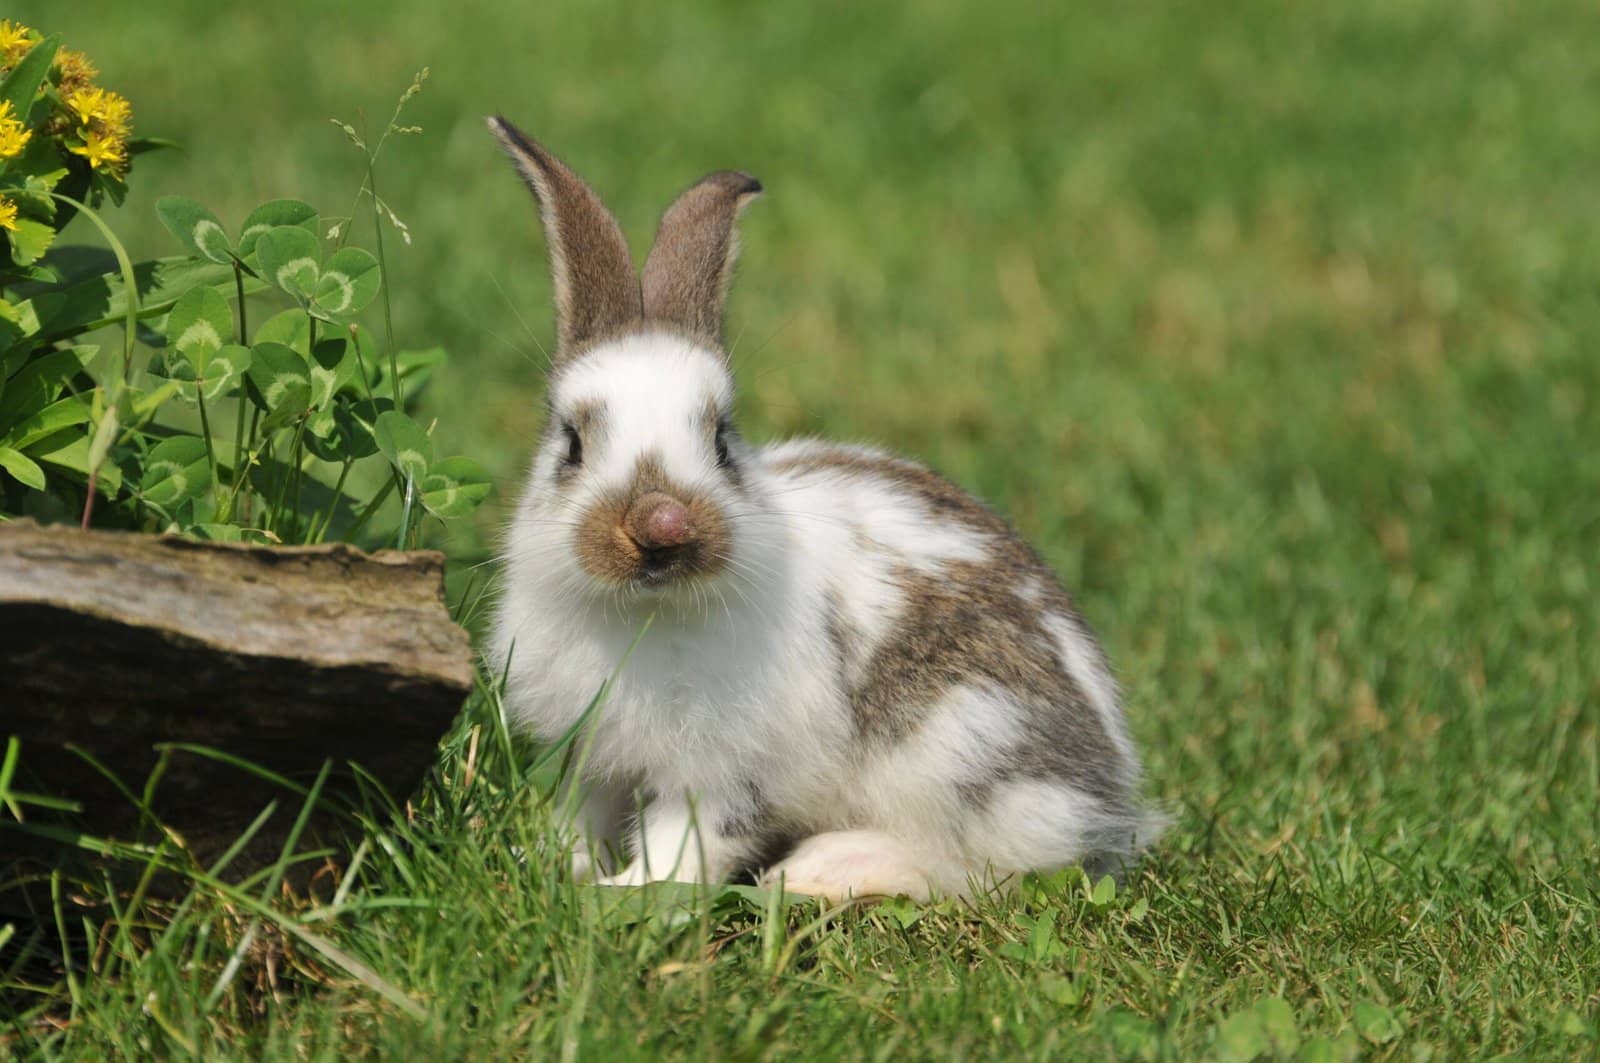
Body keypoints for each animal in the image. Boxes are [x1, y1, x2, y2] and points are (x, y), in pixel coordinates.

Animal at [480, 116, 1158, 896]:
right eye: (572, 442)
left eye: (722, 438)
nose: (661, 526)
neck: (645, 614)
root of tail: (1107, 788)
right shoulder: (596, 755)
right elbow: (582, 811)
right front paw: (553, 864)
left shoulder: (723, 775)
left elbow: (686, 847)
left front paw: (624, 897)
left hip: (965, 748)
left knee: (978, 866)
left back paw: (823, 869)